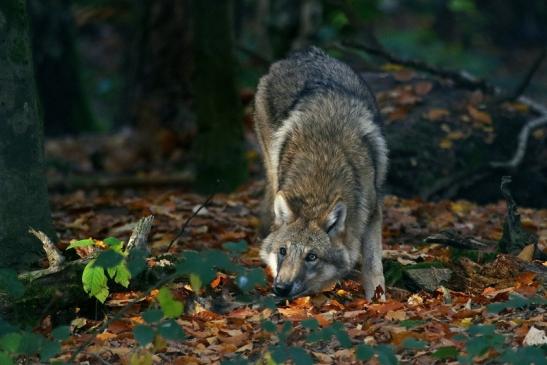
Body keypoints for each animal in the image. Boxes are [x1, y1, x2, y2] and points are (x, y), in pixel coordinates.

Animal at [255, 46, 388, 298]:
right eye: (283, 251)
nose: (281, 289)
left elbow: (373, 266)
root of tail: (303, 54)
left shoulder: (373, 212)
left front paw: (378, 300)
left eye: (312, 256)